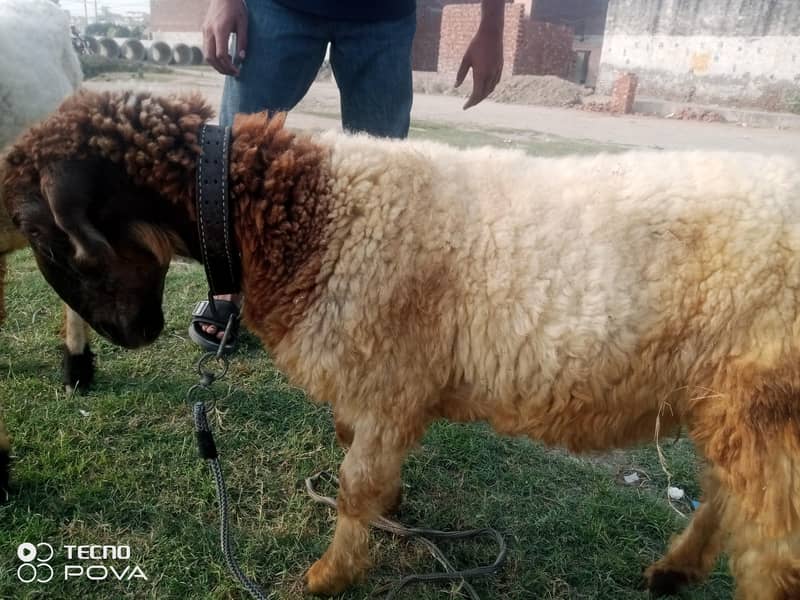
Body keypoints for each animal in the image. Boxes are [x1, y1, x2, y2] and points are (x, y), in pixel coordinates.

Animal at [4, 89, 800, 598]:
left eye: (42, 228)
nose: (131, 336)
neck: (307, 214)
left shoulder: (390, 382)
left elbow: (355, 483)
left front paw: (327, 578)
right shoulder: (378, 387)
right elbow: (355, 455)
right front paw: (390, 513)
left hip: (765, 407)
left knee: (771, 551)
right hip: (728, 405)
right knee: (726, 498)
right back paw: (673, 572)